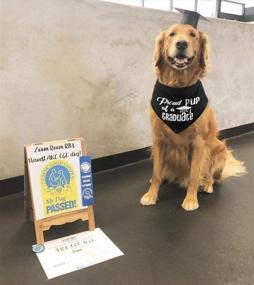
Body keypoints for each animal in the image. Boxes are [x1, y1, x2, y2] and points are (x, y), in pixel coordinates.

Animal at [140, 24, 245, 210]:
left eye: (193, 35)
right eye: (171, 34)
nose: (181, 43)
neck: (178, 88)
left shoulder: (198, 142)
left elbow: (195, 174)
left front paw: (190, 199)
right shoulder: (158, 139)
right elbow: (157, 172)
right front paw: (151, 195)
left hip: (220, 149)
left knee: (210, 174)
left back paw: (207, 185)